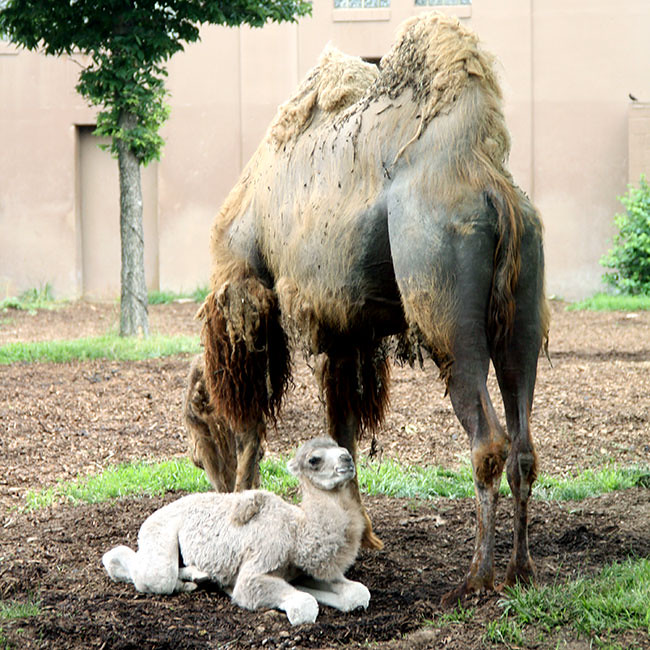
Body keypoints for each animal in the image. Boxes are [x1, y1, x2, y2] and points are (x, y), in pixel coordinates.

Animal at [102, 438, 370, 625]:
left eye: (341, 446)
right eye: (314, 460)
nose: (347, 459)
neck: (297, 533)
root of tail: (153, 515)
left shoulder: (300, 571)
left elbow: (358, 593)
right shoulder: (260, 563)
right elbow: (302, 605)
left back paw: (201, 577)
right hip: (160, 531)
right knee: (148, 573)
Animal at [185, 12, 550, 606]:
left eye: (200, 437)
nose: (208, 482)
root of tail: (492, 187)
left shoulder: (255, 297)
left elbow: (256, 424)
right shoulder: (345, 331)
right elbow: (344, 429)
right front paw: (363, 536)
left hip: (446, 308)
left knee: (487, 440)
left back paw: (474, 580)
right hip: (522, 309)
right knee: (523, 443)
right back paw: (521, 570)